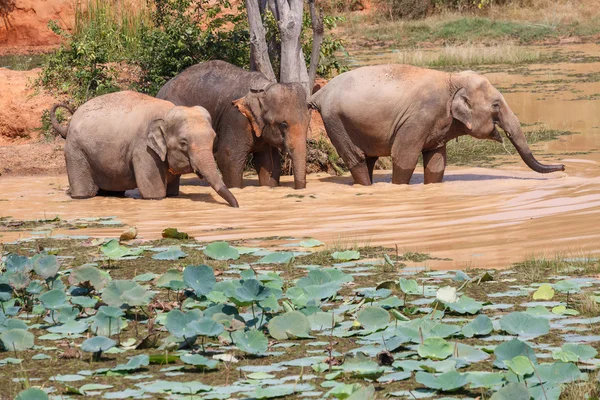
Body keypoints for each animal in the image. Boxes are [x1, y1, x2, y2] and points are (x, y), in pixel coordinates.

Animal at [48, 90, 239, 206]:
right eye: (183, 143)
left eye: (213, 138)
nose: (236, 206)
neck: (167, 112)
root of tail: (69, 123)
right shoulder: (143, 150)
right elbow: (155, 194)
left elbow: (172, 191)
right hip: (75, 152)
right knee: (84, 190)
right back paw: (81, 196)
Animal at [310, 65, 568, 185]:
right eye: (496, 105)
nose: (564, 167)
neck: (452, 79)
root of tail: (320, 93)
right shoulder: (418, 118)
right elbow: (403, 157)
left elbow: (437, 162)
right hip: (336, 121)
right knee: (357, 160)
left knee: (369, 160)